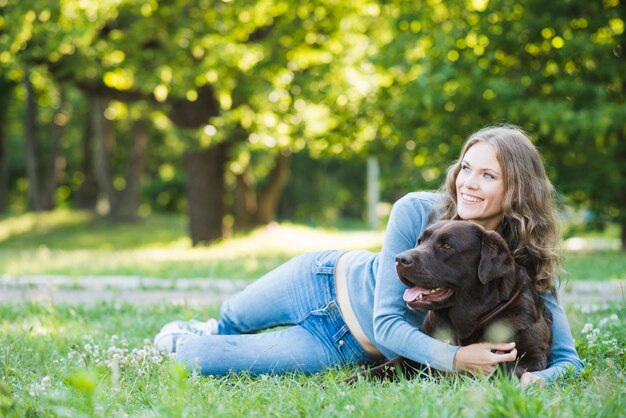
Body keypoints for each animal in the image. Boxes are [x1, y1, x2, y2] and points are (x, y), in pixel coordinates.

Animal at [346, 220, 552, 384]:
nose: (399, 258)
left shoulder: (532, 358)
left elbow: (501, 369)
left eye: (446, 245)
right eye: (421, 241)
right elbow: (376, 371)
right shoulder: (414, 357)